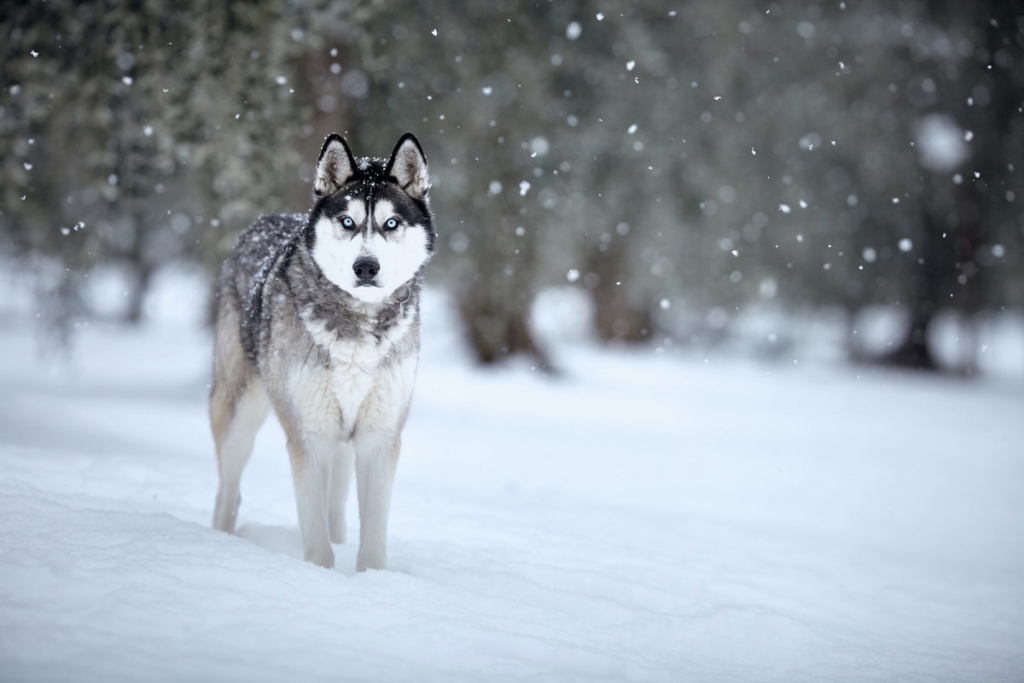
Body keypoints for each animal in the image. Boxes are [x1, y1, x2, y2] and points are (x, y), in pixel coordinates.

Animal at [209, 133, 434, 573]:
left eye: (391, 223)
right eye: (347, 222)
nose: (366, 267)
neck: (359, 323)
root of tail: (261, 222)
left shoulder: (379, 437)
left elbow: (372, 541)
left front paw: (371, 578)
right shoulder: (309, 435)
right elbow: (316, 543)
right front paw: (320, 577)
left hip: (341, 440)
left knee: (336, 506)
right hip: (240, 415)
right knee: (228, 490)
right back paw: (219, 540)